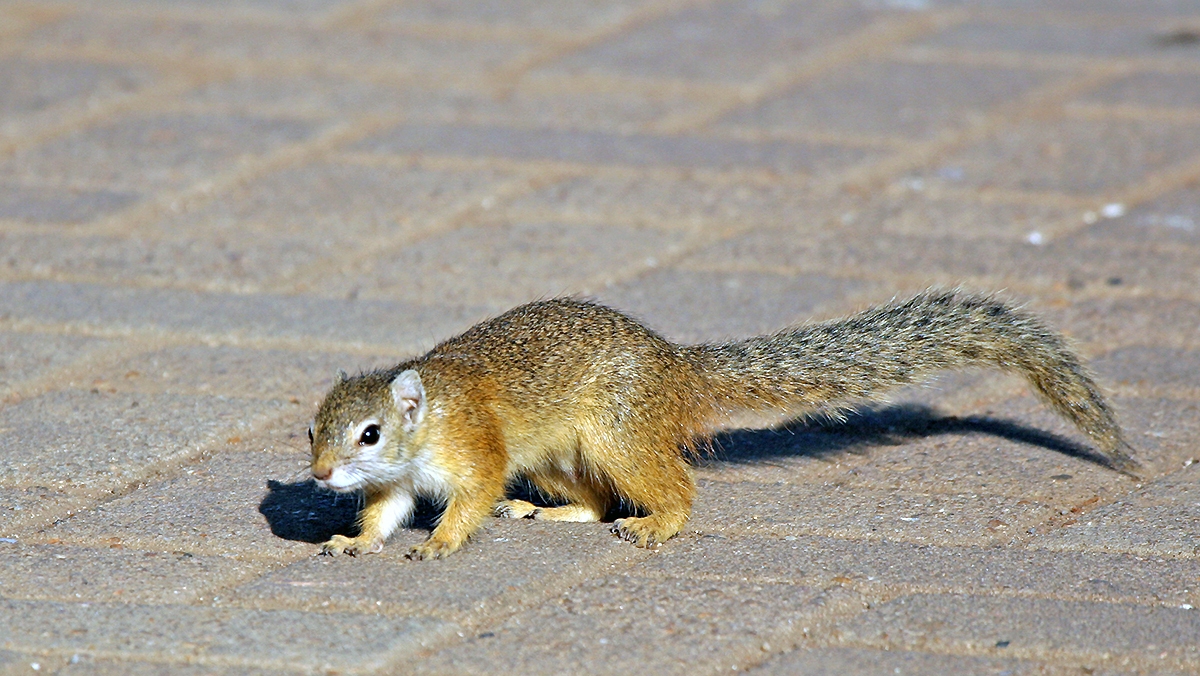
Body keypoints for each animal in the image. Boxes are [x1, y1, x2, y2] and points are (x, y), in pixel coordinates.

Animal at [308, 289, 1138, 560]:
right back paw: (562, 511)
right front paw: (353, 541)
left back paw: (657, 525)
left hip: (614, 431)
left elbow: (471, 496)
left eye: (370, 433)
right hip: (555, 454)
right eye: (311, 433)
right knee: (598, 498)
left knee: (668, 488)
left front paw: (441, 543)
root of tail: (673, 367)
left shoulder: (474, 450)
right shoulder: (395, 485)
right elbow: (384, 513)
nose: (318, 477)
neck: (427, 423)